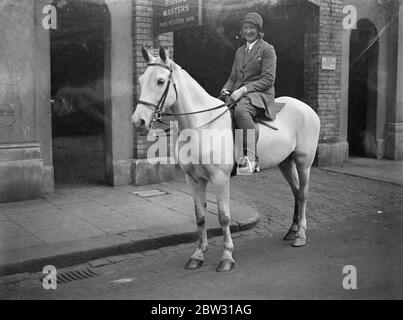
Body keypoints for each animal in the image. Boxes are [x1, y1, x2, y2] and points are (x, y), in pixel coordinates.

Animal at [133, 48, 322, 272]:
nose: (138, 121)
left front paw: (227, 257)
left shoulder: (220, 178)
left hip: (303, 162)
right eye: (141, 79)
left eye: (161, 81)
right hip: (285, 162)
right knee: (296, 192)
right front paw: (198, 255)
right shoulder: (194, 179)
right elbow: (200, 216)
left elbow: (223, 217)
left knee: (303, 194)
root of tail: (307, 109)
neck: (202, 125)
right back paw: (292, 231)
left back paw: (300, 235)